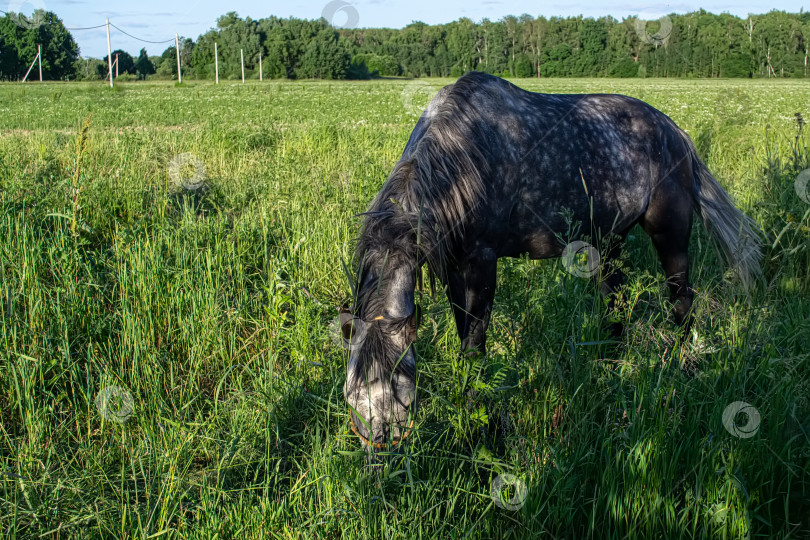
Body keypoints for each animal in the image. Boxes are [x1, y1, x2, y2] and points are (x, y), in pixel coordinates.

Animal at [344, 73, 760, 452]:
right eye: (351, 393)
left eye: (396, 387)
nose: (376, 451)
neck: (461, 159)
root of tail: (675, 132)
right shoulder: (453, 269)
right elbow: (464, 339)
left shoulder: (482, 263)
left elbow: (475, 346)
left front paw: (483, 427)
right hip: (609, 241)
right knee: (616, 306)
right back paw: (607, 377)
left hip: (670, 236)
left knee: (681, 302)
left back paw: (682, 372)